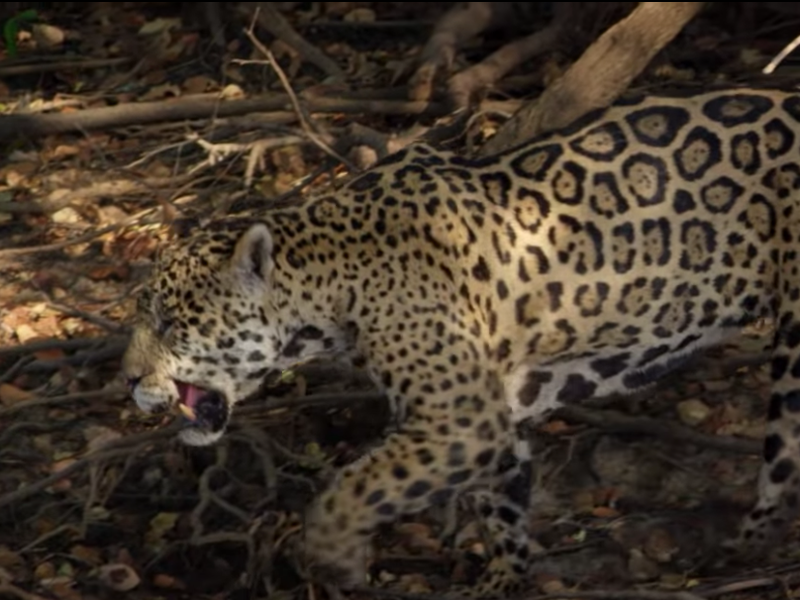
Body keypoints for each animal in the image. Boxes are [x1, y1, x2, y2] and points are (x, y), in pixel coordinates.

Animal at [123, 87, 800, 597]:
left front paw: (333, 556)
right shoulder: (500, 412)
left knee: (783, 458)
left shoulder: (459, 419)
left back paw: (739, 553)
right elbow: (502, 509)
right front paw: (501, 581)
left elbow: (356, 485)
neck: (332, 277)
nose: (126, 381)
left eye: (170, 321)